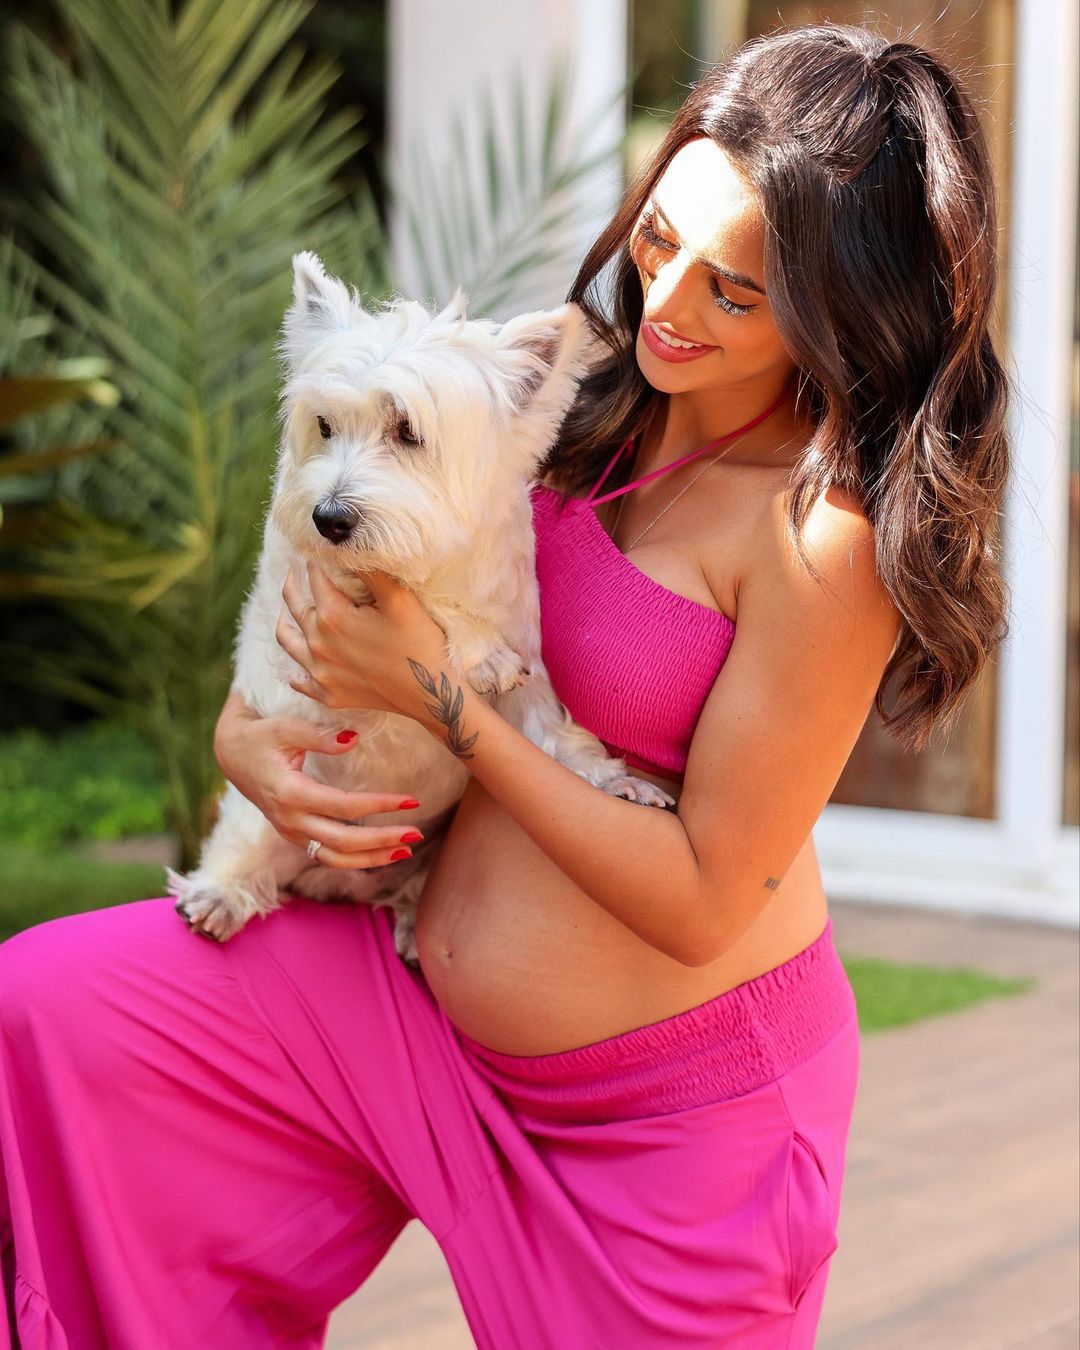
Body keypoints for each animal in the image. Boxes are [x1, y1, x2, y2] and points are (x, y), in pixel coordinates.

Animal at [167, 253, 674, 961]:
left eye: (408, 431)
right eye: (324, 426)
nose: (329, 517)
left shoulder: (528, 675)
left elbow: (555, 736)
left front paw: (613, 780)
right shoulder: (312, 608)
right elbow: (387, 589)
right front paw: (477, 651)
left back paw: (407, 919)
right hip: (269, 808)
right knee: (246, 838)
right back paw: (220, 894)